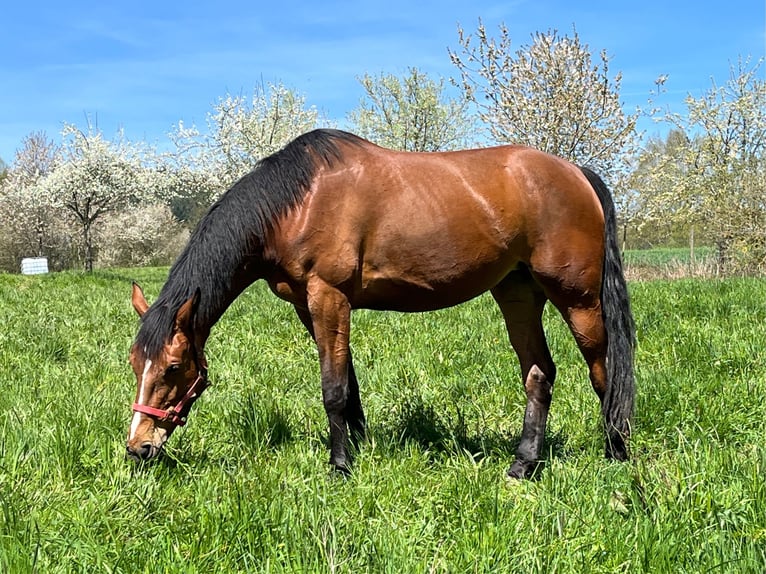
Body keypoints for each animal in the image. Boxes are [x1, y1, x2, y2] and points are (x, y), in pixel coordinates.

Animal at [129, 130, 640, 482]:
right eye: (135, 364)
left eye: (173, 367)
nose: (138, 447)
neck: (298, 201)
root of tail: (576, 173)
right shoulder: (309, 306)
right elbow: (348, 382)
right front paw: (358, 446)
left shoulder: (328, 297)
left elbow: (332, 388)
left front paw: (339, 466)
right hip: (517, 293)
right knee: (539, 372)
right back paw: (523, 465)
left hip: (577, 298)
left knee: (603, 371)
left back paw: (616, 455)